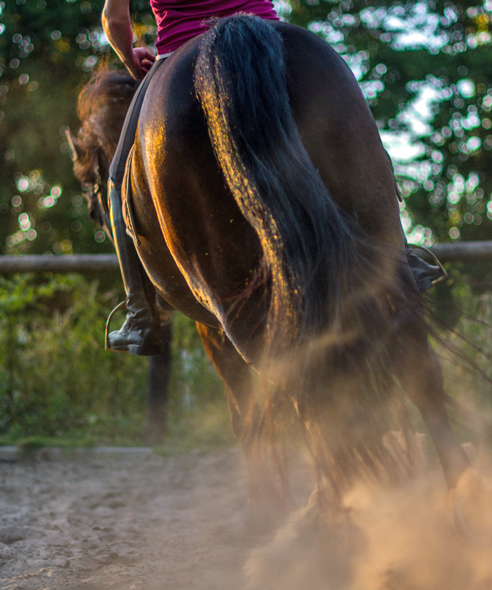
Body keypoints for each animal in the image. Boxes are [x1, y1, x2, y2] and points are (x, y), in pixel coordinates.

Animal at [70, 15, 472, 520]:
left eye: (91, 185)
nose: (94, 213)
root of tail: (225, 34)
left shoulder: (212, 328)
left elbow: (246, 416)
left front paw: (267, 503)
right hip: (369, 241)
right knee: (410, 363)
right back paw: (450, 499)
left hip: (236, 301)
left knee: (305, 389)